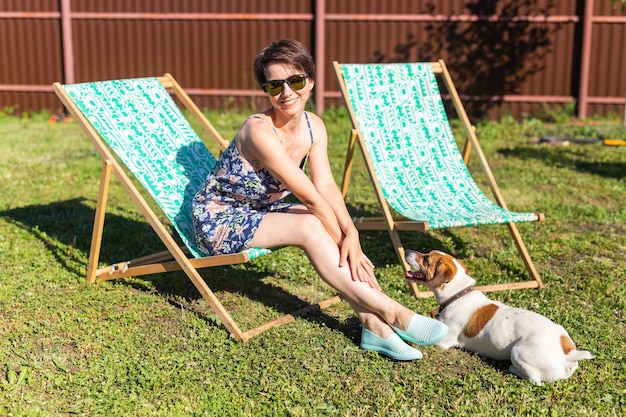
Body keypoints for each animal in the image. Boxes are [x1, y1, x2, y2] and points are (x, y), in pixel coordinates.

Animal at [402, 249, 592, 386]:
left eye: (426, 259)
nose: (407, 251)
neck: (457, 294)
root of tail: (568, 353)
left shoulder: (444, 341)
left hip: (518, 352)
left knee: (535, 380)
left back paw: (513, 370)